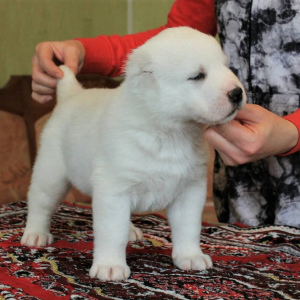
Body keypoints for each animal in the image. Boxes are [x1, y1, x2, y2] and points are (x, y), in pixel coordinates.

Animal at [21, 27, 246, 282]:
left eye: (226, 67)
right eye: (198, 76)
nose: (237, 93)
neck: (168, 133)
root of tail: (72, 95)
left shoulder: (189, 190)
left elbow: (188, 227)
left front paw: (190, 256)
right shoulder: (113, 188)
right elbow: (112, 231)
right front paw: (110, 266)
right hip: (51, 172)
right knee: (40, 202)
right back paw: (35, 234)